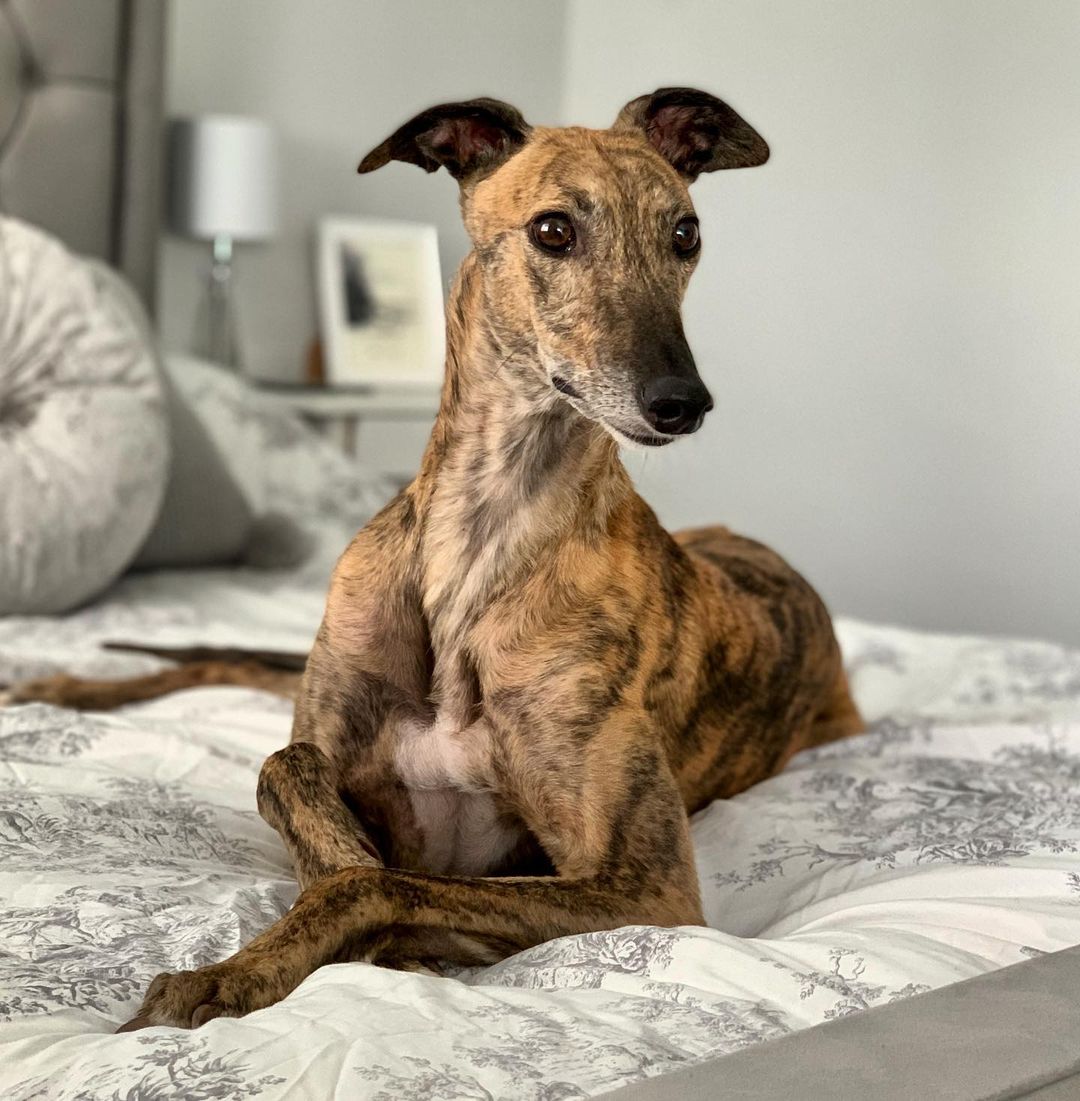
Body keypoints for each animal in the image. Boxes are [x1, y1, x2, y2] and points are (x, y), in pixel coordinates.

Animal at [6, 90, 858, 1026]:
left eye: (685, 233)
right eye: (553, 230)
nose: (682, 403)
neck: (480, 541)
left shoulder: (646, 886)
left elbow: (369, 882)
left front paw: (235, 973)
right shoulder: (327, 739)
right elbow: (293, 776)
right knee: (222, 662)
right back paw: (60, 685)